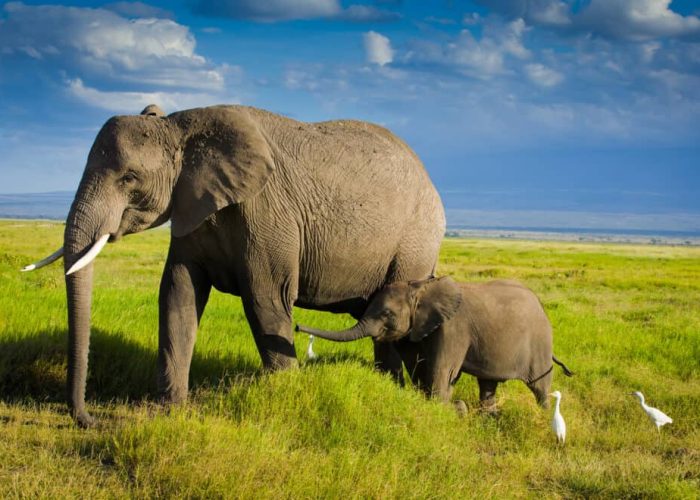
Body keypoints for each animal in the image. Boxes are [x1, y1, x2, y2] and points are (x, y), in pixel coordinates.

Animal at [27, 104, 446, 426]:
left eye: (129, 178)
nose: (90, 419)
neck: (180, 126)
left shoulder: (266, 211)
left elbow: (266, 300)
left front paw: (286, 398)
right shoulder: (191, 207)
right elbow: (178, 294)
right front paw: (170, 411)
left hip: (415, 240)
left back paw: (395, 390)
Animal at [298, 276, 572, 408]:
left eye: (387, 314)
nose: (298, 326)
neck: (420, 287)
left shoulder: (453, 328)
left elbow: (441, 370)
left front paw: (442, 408)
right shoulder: (418, 329)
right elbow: (420, 368)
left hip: (540, 344)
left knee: (540, 387)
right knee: (488, 385)